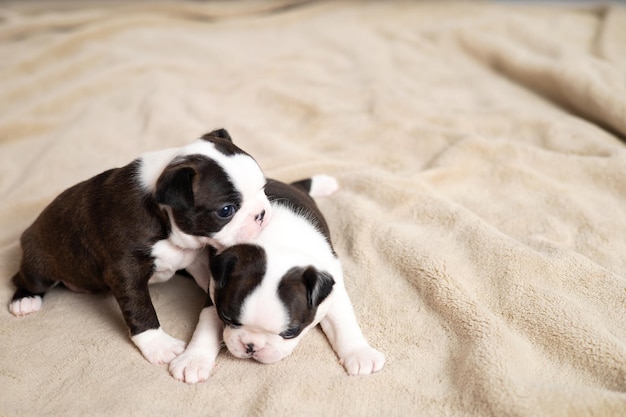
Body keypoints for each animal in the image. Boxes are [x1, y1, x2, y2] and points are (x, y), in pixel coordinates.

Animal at [8, 127, 270, 364]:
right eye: (226, 210)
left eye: (263, 188)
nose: (262, 213)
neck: (163, 218)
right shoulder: (125, 271)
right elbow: (140, 309)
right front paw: (158, 345)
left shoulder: (196, 259)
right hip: (41, 264)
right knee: (23, 278)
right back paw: (24, 300)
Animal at [171, 174, 386, 382]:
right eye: (227, 317)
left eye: (290, 332)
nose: (252, 346)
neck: (279, 242)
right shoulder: (215, 289)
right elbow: (206, 323)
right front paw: (194, 360)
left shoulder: (333, 288)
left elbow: (343, 322)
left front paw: (360, 354)